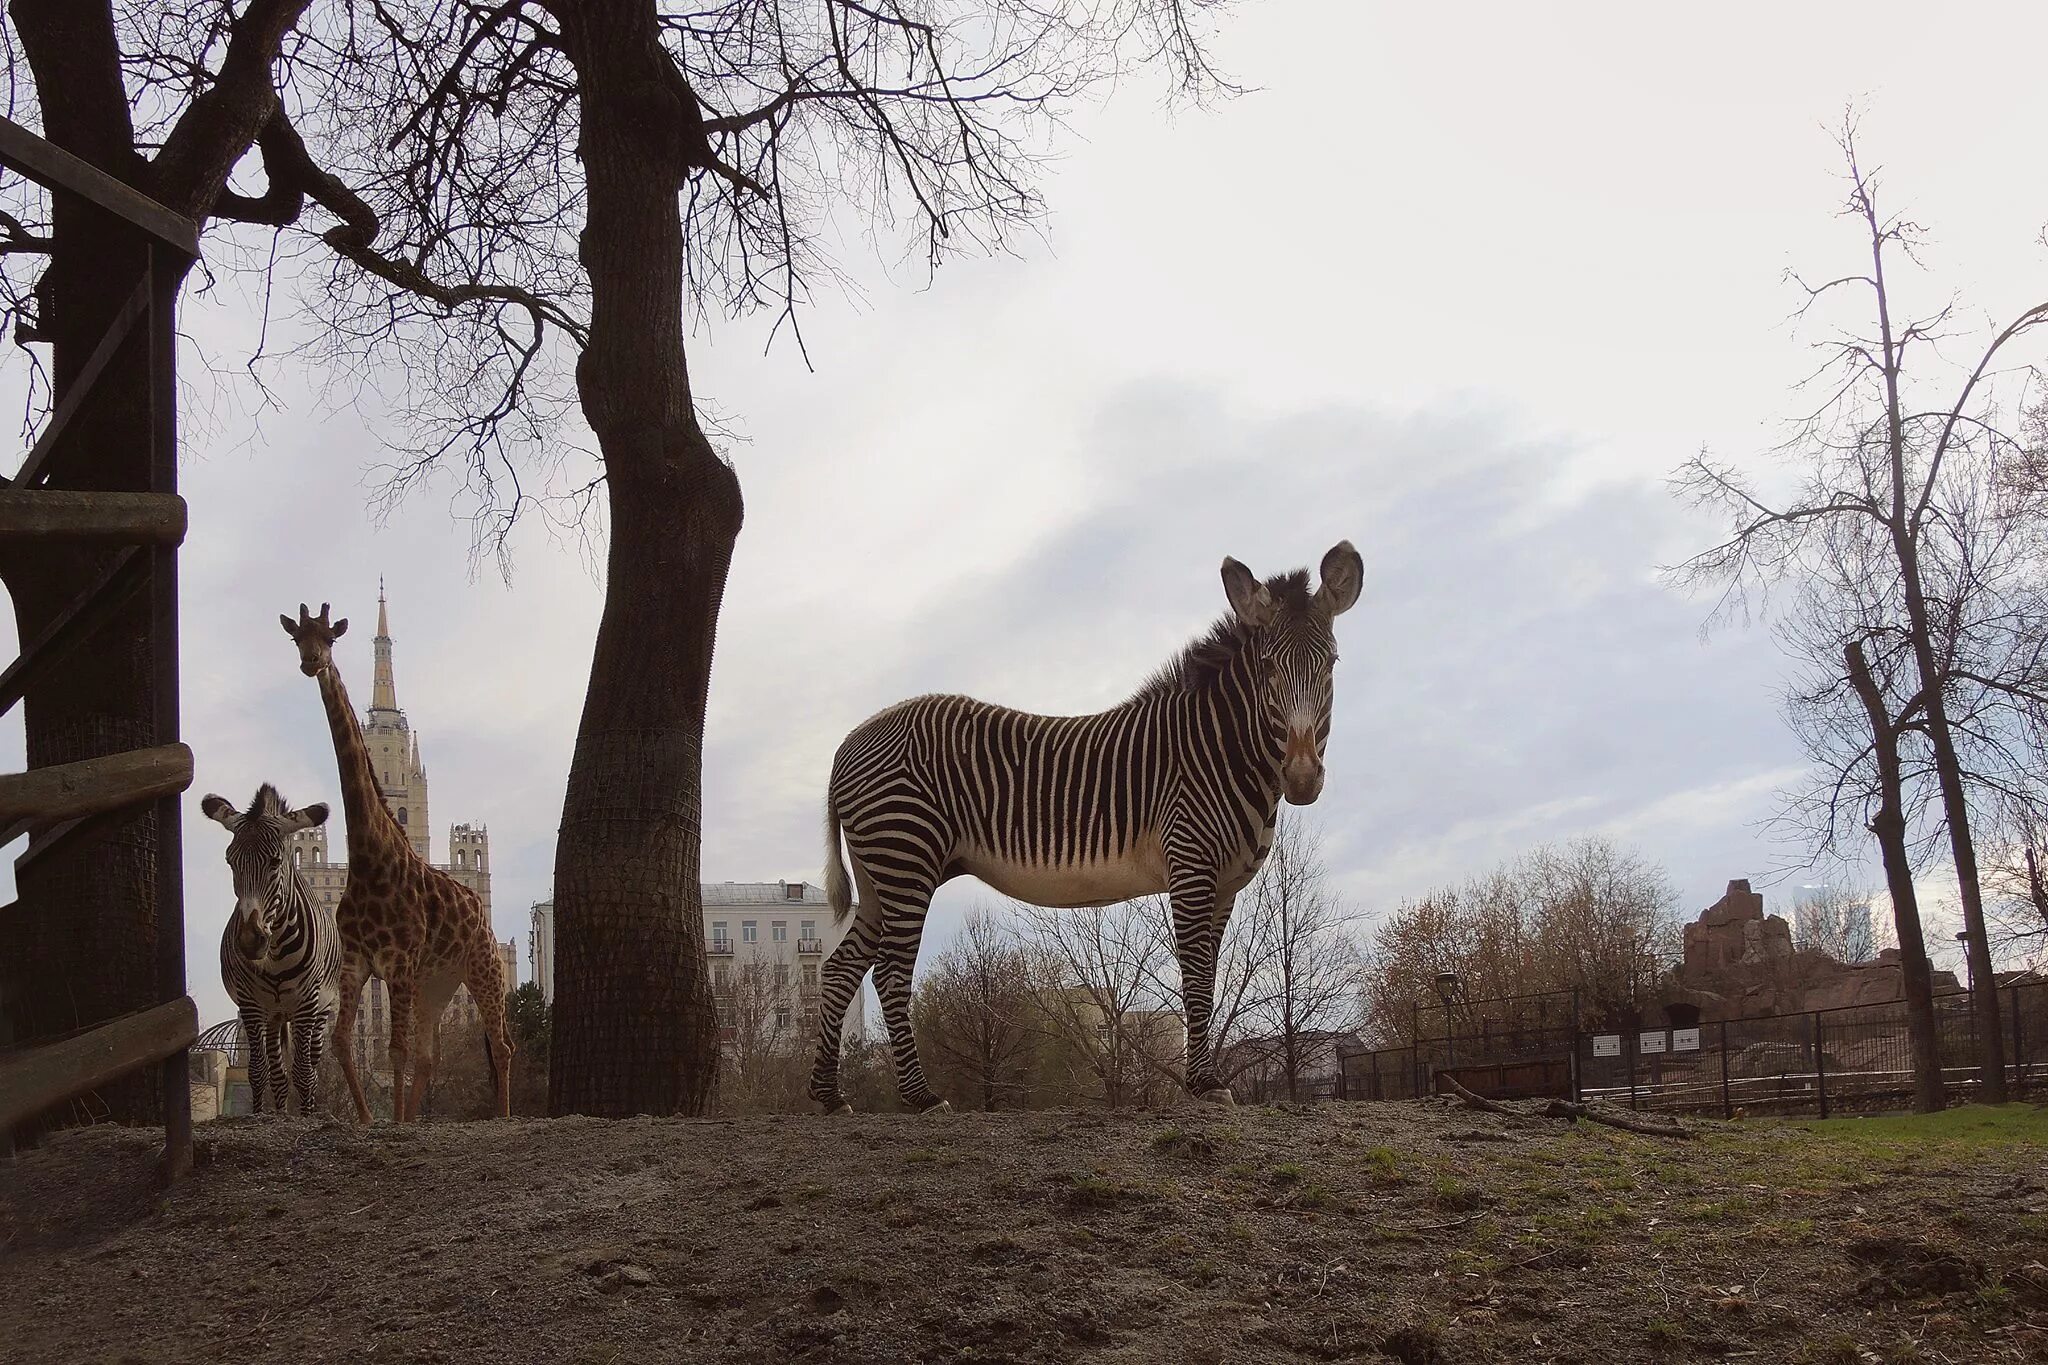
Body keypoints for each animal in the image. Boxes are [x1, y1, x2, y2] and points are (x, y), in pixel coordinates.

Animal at [203, 785, 344, 1113]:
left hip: (321, 1011)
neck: (276, 951)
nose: (249, 941)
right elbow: (258, 1071)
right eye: (230, 861)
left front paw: (306, 1116)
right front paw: (259, 1115)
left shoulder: (307, 1003)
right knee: (278, 1074)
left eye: (276, 861)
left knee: (311, 1068)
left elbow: (304, 1073)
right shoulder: (251, 1004)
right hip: (274, 1015)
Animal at [280, 605, 512, 1121]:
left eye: (329, 637)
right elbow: (344, 1043)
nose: (310, 662)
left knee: (502, 1047)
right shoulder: (355, 964)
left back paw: (503, 1115)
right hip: (435, 987)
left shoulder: (400, 965)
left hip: (485, 971)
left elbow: (396, 1051)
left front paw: (393, 1119)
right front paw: (373, 1119)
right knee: (431, 1057)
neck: (371, 858)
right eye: (297, 637)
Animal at [806, 540, 1368, 1113]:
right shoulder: (1191, 865)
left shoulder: (1225, 883)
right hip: (906, 858)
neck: (1219, 749)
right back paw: (920, 1097)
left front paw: (1203, 1079)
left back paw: (828, 1094)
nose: (1302, 779)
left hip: (882, 875)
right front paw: (1204, 1084)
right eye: (1269, 668)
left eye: (1331, 664)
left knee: (841, 968)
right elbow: (1195, 974)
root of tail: (852, 739)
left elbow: (1207, 976)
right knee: (890, 973)